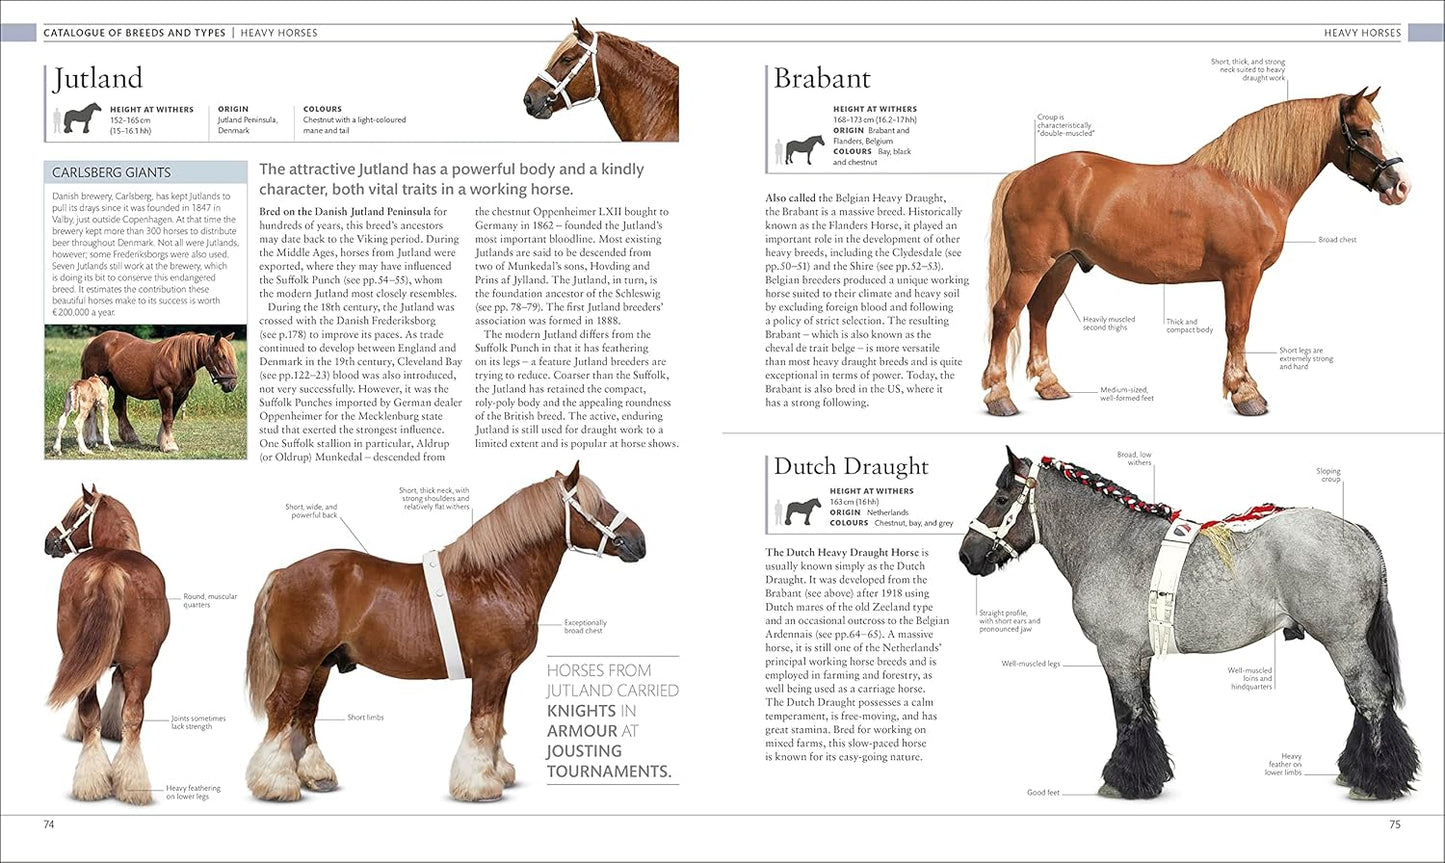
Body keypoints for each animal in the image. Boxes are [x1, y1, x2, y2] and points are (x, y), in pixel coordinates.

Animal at [45, 486, 170, 804]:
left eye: (75, 514)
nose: (49, 541)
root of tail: (108, 569)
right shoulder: (129, 663)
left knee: (90, 709)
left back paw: (93, 782)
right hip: (141, 667)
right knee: (132, 717)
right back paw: (129, 784)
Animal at [81, 330, 238, 452]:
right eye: (222, 356)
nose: (231, 384)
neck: (178, 362)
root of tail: (94, 341)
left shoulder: (181, 395)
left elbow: (170, 417)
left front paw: (163, 441)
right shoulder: (166, 392)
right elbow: (167, 418)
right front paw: (169, 445)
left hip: (119, 387)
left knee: (119, 409)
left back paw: (130, 437)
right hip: (100, 383)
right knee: (93, 409)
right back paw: (96, 438)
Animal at [244, 462, 646, 803]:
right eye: (596, 504)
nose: (639, 541)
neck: (496, 578)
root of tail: (283, 573)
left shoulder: (504, 673)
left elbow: (496, 722)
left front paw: (499, 772)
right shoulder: (490, 669)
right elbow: (482, 722)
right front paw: (480, 785)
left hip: (321, 666)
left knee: (305, 714)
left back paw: (315, 776)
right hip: (300, 666)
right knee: (280, 709)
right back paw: (275, 784)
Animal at [959, 448, 1419, 800]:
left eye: (1001, 498)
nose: (967, 555)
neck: (1111, 541)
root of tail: (1358, 533)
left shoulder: (1115, 654)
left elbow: (1127, 713)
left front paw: (1123, 781)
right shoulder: (1137, 657)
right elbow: (1143, 711)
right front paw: (1148, 775)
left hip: (1344, 642)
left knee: (1371, 696)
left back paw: (1375, 781)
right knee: (1362, 699)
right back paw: (1356, 770)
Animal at [981, 89, 1411, 417]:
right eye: (1363, 131)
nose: (1400, 186)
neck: (1250, 186)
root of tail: (1023, 175)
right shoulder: (1242, 273)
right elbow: (1238, 327)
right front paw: (1246, 394)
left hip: (1061, 266)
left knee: (1040, 315)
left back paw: (1049, 385)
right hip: (1030, 267)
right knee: (1006, 315)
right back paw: (1000, 397)